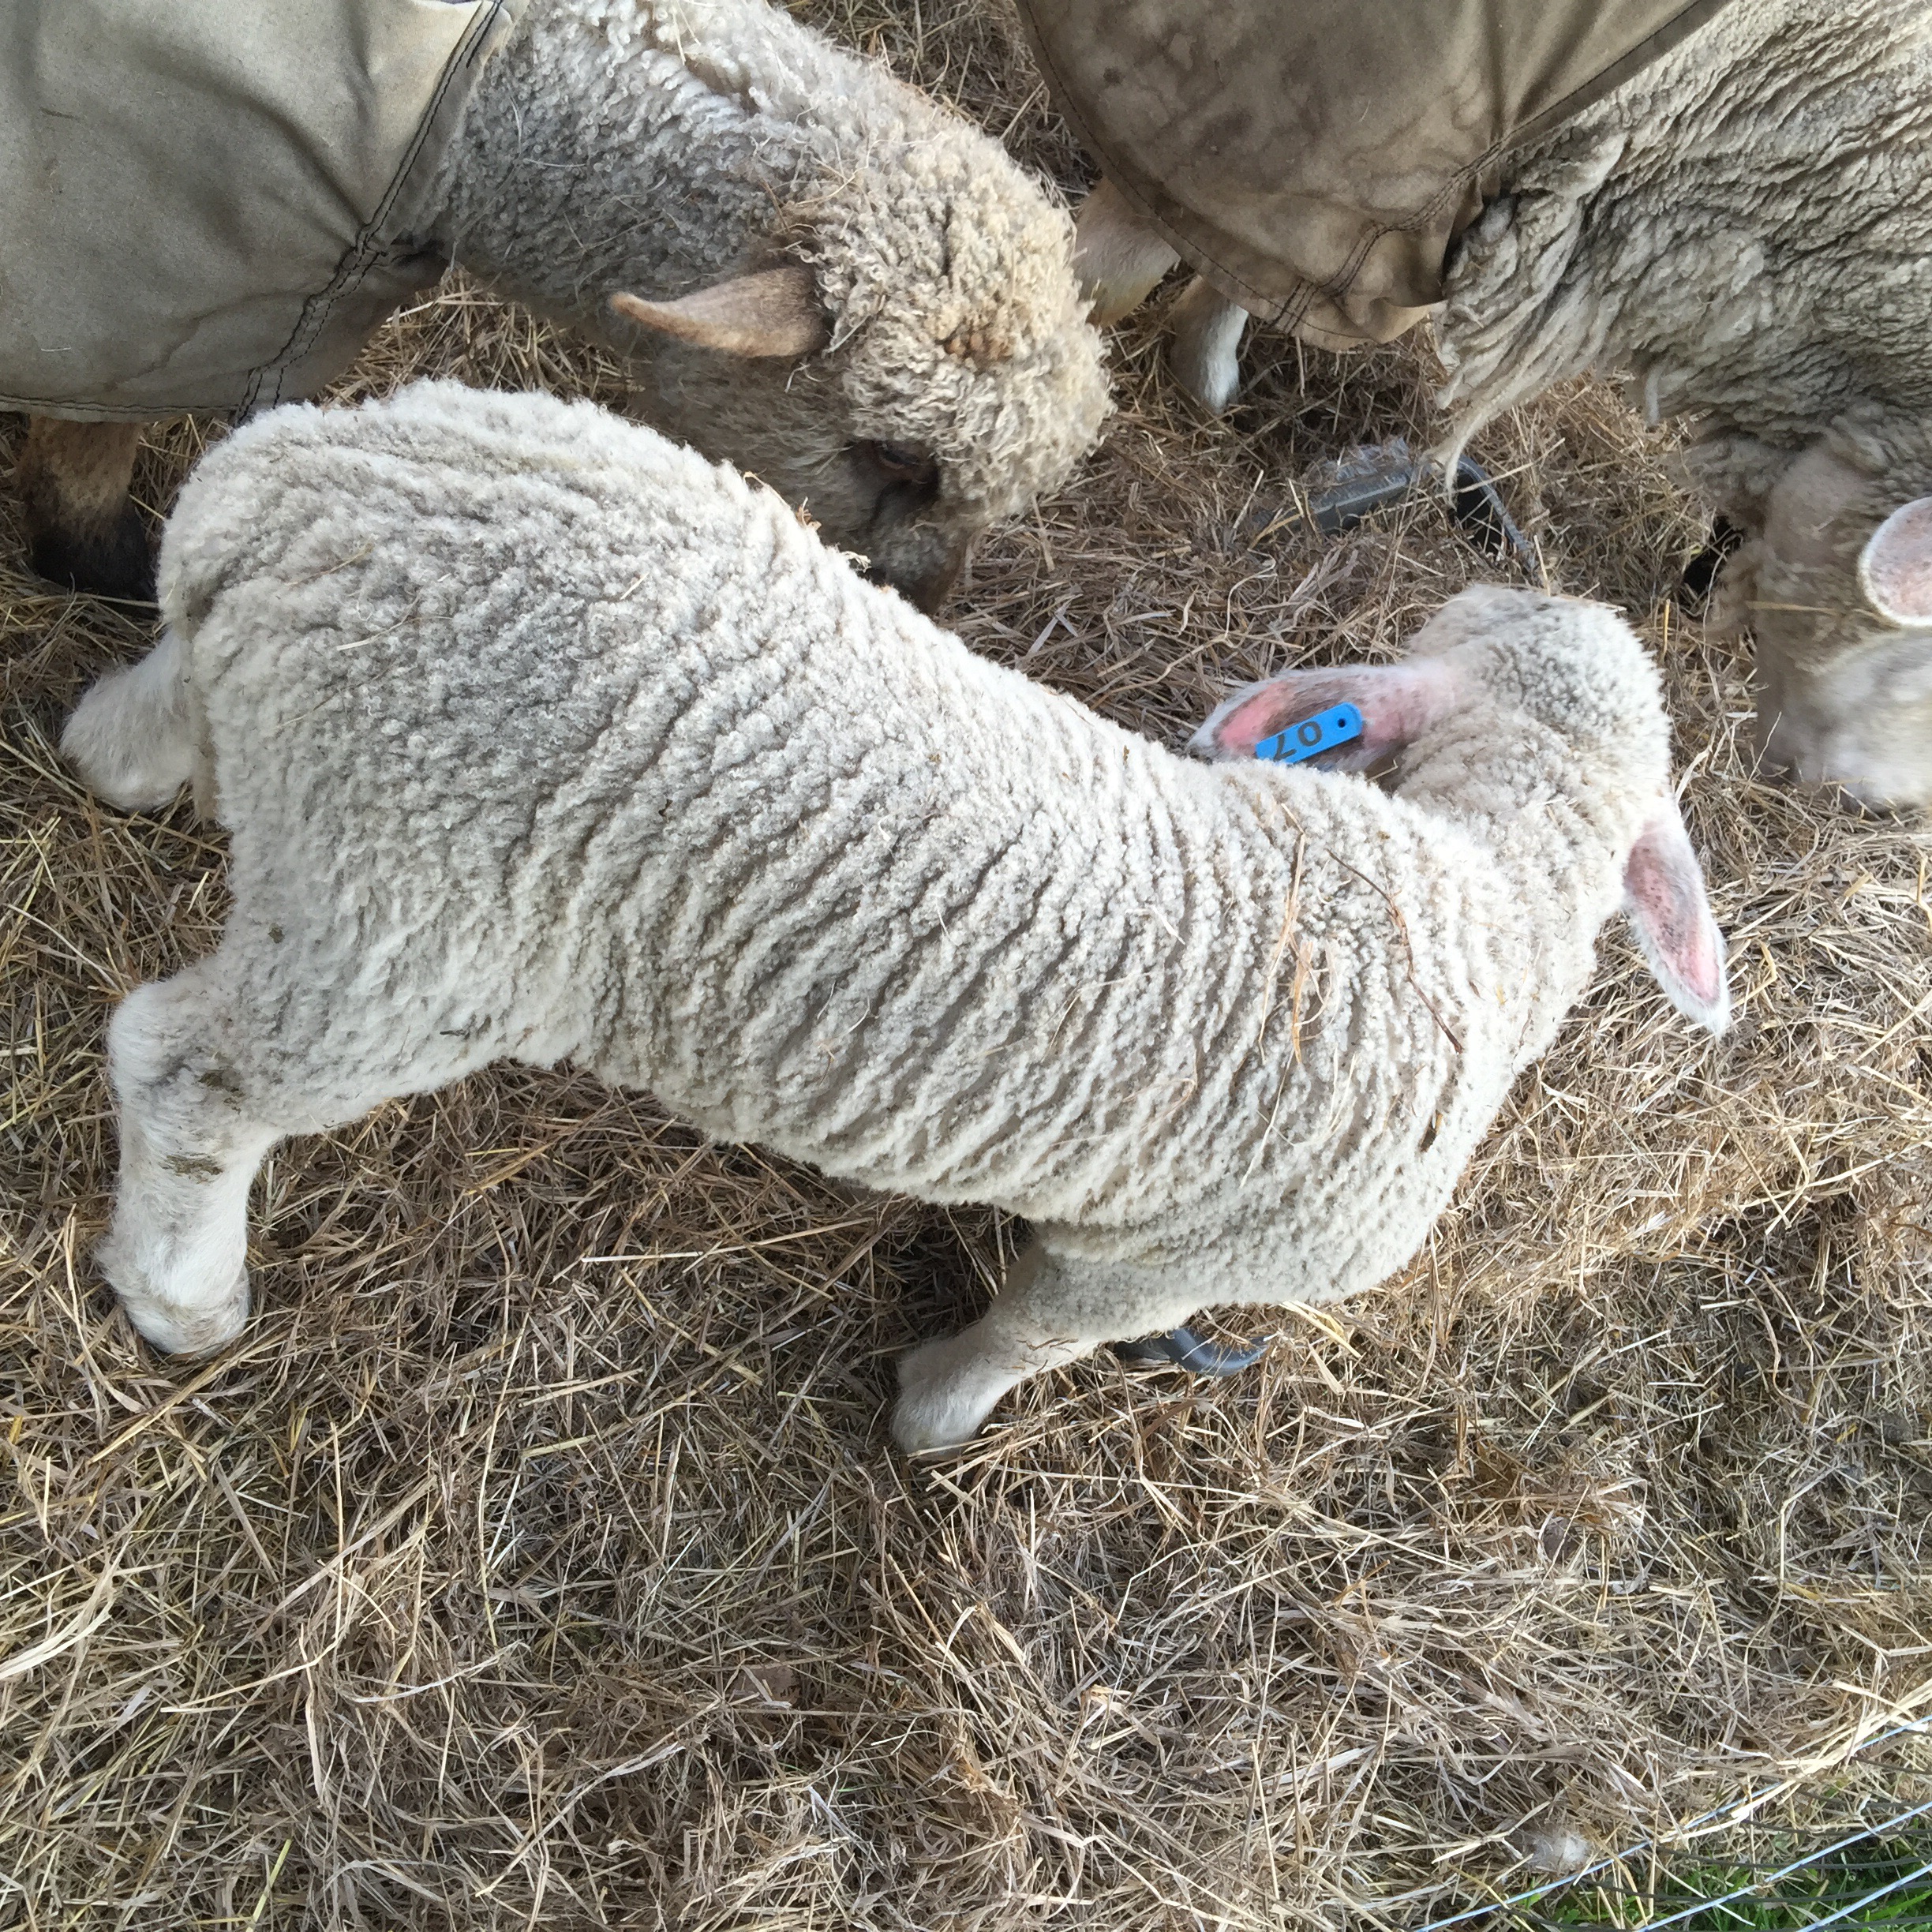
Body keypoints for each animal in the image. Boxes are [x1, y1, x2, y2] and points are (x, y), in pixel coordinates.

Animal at [60, 382, 1729, 1450]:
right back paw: (180, 1299)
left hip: (293, 762)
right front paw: (931, 1415)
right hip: (404, 917)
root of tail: (299, 493)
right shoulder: (1160, 1262)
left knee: (137, 726)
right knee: (184, 1072)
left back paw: (110, 751)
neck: (1475, 901)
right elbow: (1034, 1332)